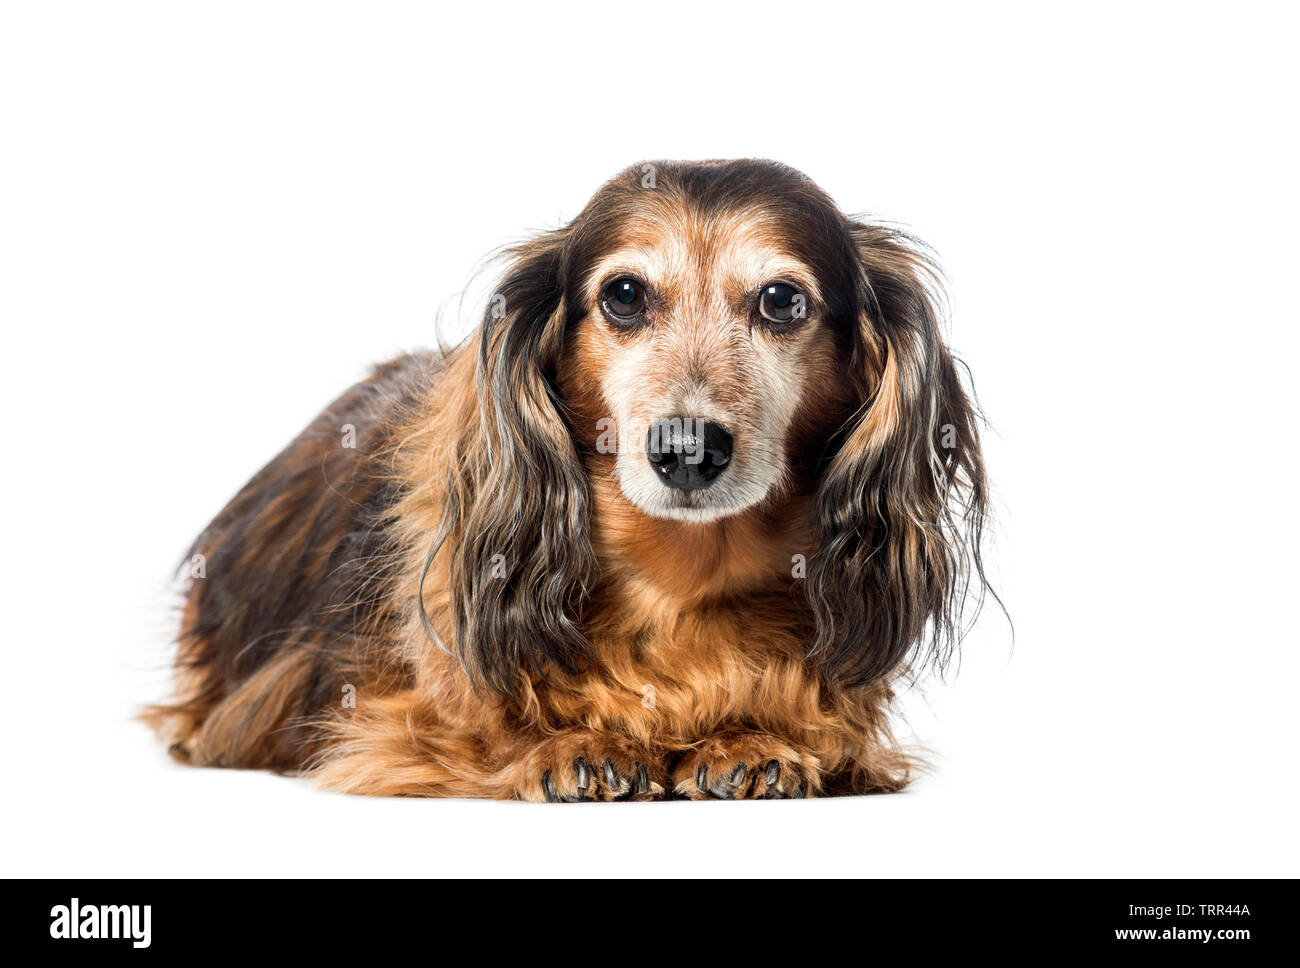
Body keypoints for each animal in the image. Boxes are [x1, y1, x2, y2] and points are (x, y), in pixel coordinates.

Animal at [147, 160, 987, 800]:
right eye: (625, 294)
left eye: (782, 300)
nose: (687, 449)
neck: (682, 579)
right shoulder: (371, 711)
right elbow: (469, 724)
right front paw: (561, 744)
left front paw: (757, 738)